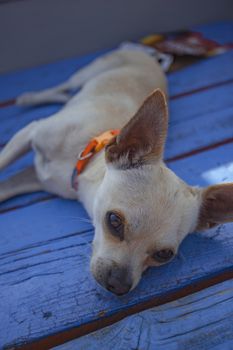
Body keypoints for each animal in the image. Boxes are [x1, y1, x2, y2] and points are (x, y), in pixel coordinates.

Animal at [0, 50, 233, 296]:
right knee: (66, 84)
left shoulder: (34, 178)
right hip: (88, 72)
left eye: (163, 255)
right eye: (114, 221)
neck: (84, 159)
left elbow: (4, 188)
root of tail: (147, 54)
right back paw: (32, 97)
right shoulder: (28, 133)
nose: (118, 285)